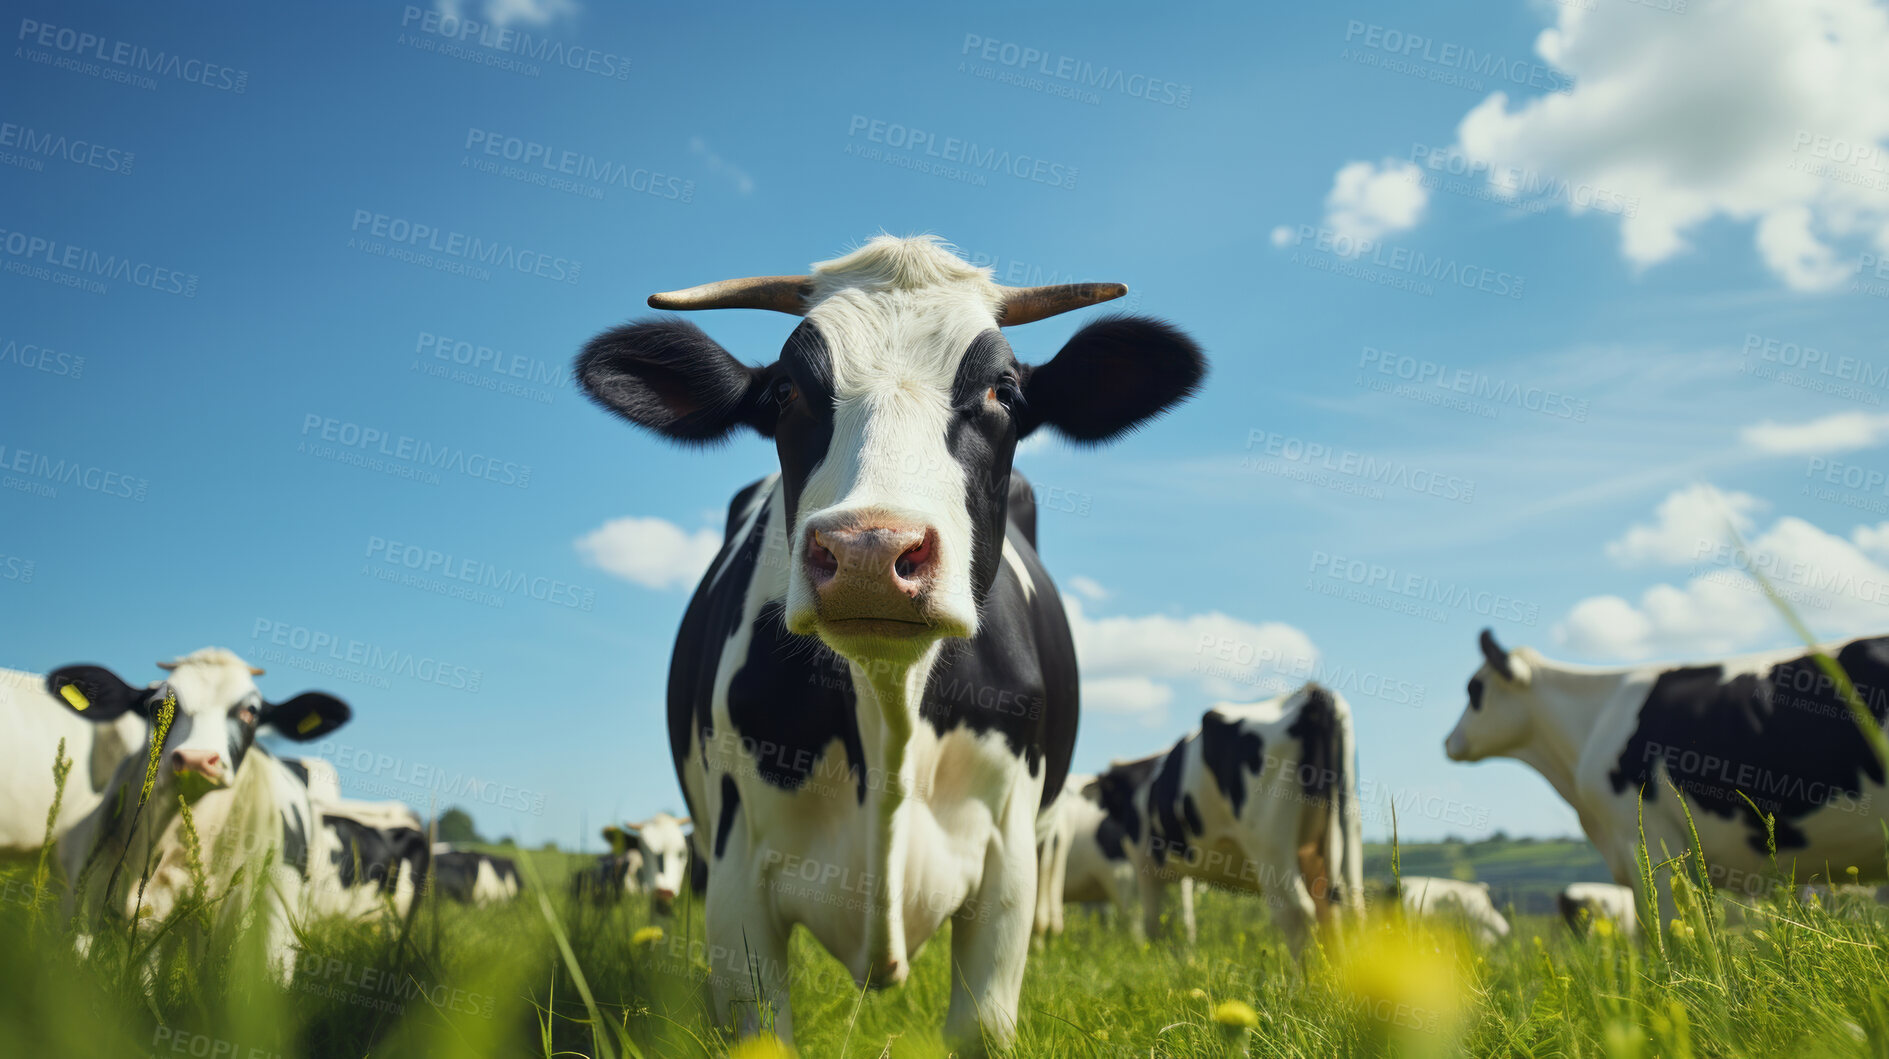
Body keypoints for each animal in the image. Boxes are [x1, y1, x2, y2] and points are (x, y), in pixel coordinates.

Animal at [566, 231, 1208, 1042]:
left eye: (1004, 390)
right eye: (785, 391)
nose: (871, 551)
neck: (887, 706)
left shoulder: (1009, 864)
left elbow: (981, 1023)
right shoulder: (736, 872)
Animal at [1095, 679, 1360, 955]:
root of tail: (1309, 694)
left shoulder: (1144, 863)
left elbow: (1153, 921)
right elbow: (1183, 919)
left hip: (1268, 843)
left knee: (1297, 913)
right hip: (1345, 829)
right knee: (1344, 907)